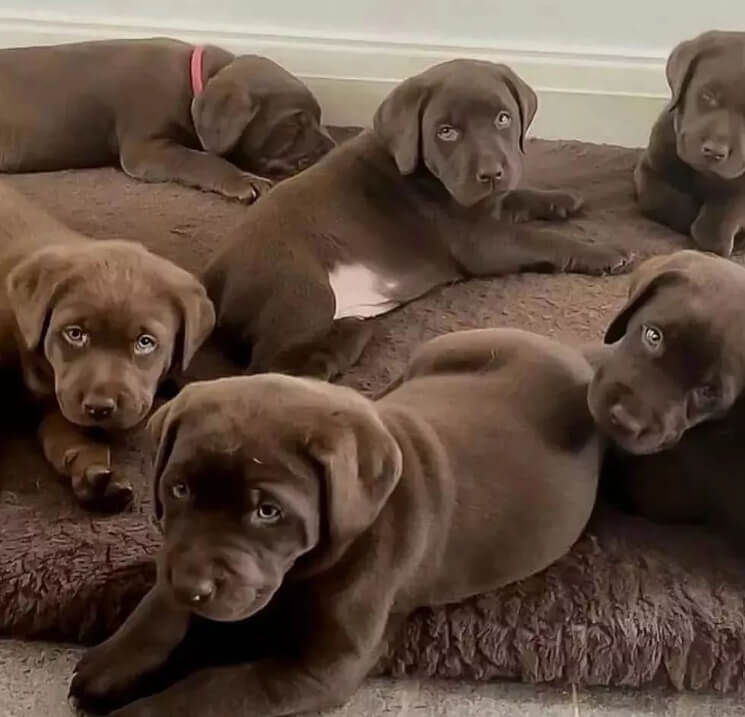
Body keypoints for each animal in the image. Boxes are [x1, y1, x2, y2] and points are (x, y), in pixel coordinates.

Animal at [0, 182, 215, 512]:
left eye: (145, 342)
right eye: (75, 334)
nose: (99, 408)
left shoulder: (59, 403)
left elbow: (68, 435)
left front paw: (95, 475)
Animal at [70, 328, 600, 712]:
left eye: (268, 511)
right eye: (178, 489)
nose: (193, 587)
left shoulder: (322, 668)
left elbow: (209, 689)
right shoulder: (183, 559)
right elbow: (160, 600)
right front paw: (118, 657)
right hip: (435, 354)